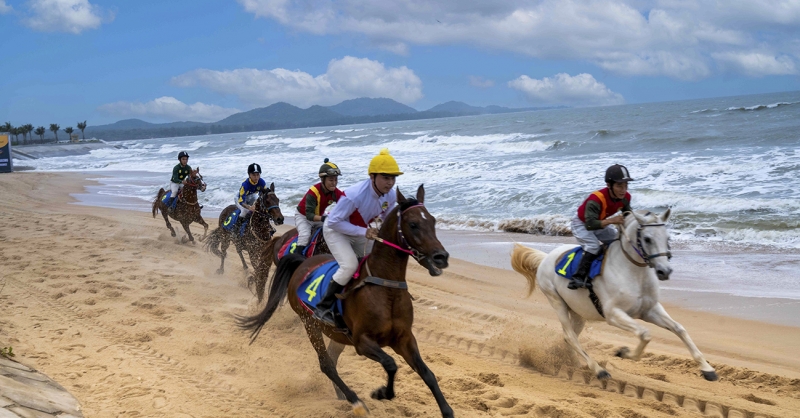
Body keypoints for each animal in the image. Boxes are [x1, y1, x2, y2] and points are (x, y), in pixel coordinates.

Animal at [234, 187, 454, 418]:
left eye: (433, 220)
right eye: (413, 224)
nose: (441, 257)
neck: (386, 287)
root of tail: (302, 263)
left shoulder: (404, 338)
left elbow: (427, 373)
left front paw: (447, 410)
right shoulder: (362, 341)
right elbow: (390, 363)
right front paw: (382, 393)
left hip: (337, 334)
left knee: (332, 358)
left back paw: (342, 395)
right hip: (310, 323)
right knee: (326, 364)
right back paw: (355, 401)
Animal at [512, 209, 720, 382]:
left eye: (668, 237)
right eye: (647, 239)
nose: (664, 271)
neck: (634, 273)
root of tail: (545, 258)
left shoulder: (650, 310)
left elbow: (679, 329)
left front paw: (707, 369)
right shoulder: (614, 314)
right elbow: (645, 334)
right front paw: (623, 352)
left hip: (578, 312)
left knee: (570, 337)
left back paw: (576, 364)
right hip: (557, 302)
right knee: (570, 336)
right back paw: (598, 370)